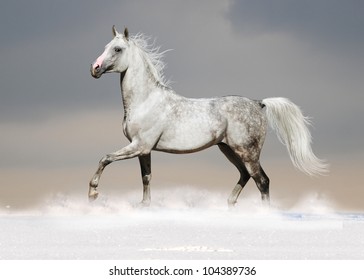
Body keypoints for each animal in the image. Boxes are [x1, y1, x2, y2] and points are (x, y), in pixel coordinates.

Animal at [88, 25, 328, 206]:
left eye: (117, 49)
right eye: (106, 46)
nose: (95, 68)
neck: (145, 101)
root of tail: (258, 103)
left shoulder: (139, 145)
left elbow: (105, 158)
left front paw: (93, 193)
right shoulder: (144, 150)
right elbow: (146, 178)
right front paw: (144, 205)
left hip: (248, 152)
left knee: (262, 181)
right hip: (228, 149)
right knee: (245, 175)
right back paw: (229, 205)